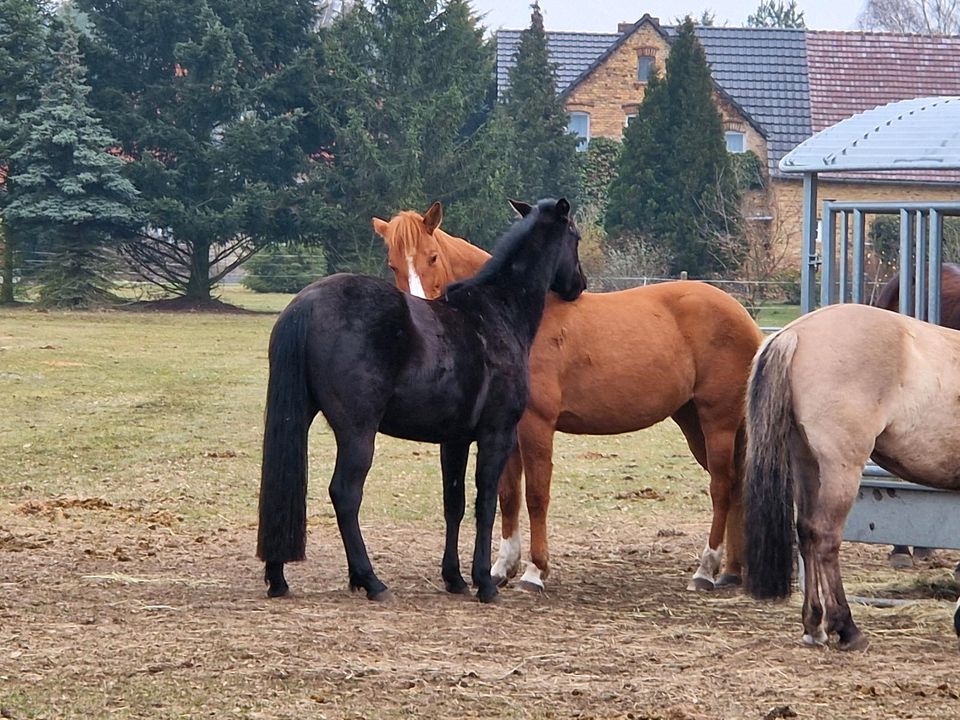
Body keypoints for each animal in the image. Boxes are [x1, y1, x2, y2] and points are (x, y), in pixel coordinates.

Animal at [256, 195, 584, 600]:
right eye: (575, 237)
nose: (579, 285)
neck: (494, 311)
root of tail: (308, 301)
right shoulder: (496, 435)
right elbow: (486, 503)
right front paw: (484, 581)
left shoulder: (454, 441)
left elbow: (454, 503)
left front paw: (454, 578)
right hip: (358, 433)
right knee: (345, 494)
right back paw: (370, 580)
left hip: (300, 417)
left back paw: (279, 577)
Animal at [372, 201, 760, 592]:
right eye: (392, 264)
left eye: (433, 256)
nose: (420, 312)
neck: (510, 313)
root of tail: (740, 314)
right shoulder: (506, 429)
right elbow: (508, 496)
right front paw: (502, 567)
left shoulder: (536, 426)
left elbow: (536, 495)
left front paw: (534, 571)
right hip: (693, 420)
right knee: (735, 485)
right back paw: (731, 571)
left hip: (717, 421)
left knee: (721, 486)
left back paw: (706, 570)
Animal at [748, 300, 960, 648]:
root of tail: (795, 333)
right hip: (841, 469)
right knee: (826, 538)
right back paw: (846, 627)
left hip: (807, 463)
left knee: (807, 532)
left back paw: (814, 626)